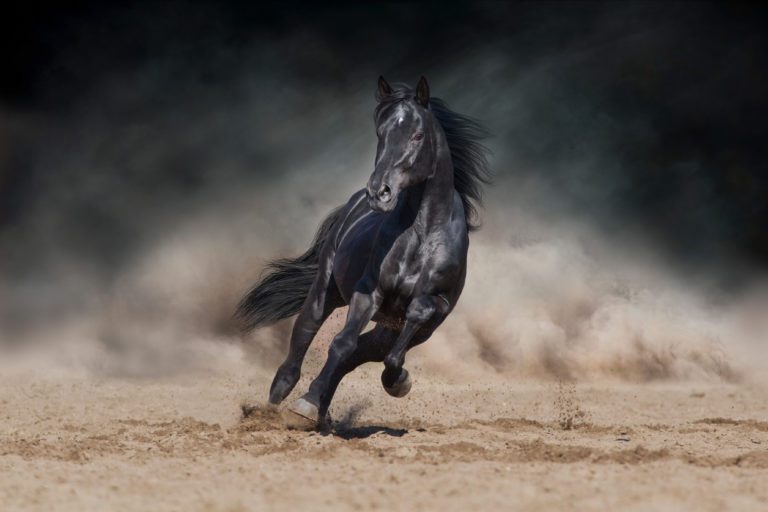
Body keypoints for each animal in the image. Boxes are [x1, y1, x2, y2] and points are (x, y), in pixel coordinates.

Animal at [236, 76, 491, 427]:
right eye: (381, 133)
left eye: (417, 135)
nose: (379, 192)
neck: (422, 234)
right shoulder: (369, 293)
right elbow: (341, 343)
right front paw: (305, 405)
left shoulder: (437, 307)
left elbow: (406, 329)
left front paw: (398, 381)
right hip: (325, 290)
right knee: (304, 337)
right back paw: (276, 407)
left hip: (394, 329)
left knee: (364, 353)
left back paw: (324, 409)